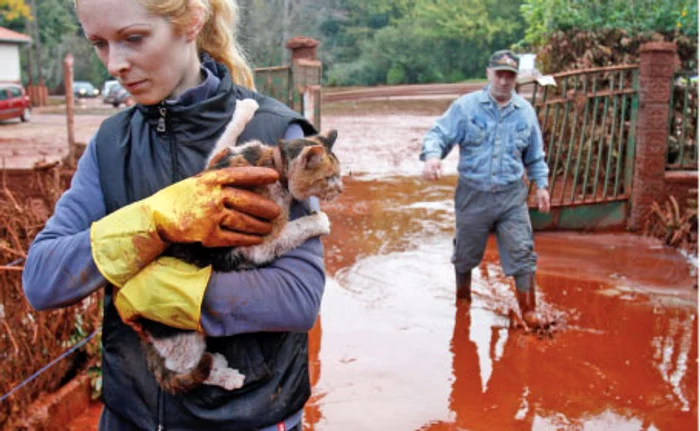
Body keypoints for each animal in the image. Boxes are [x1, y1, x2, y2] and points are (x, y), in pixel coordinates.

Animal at [137, 98, 342, 394]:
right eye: (329, 178)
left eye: (339, 175)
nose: (341, 188)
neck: (271, 161)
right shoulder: (260, 243)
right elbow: (296, 229)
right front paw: (319, 221)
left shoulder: (213, 163)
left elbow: (225, 135)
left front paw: (246, 107)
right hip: (181, 332)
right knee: (184, 369)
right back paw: (227, 375)